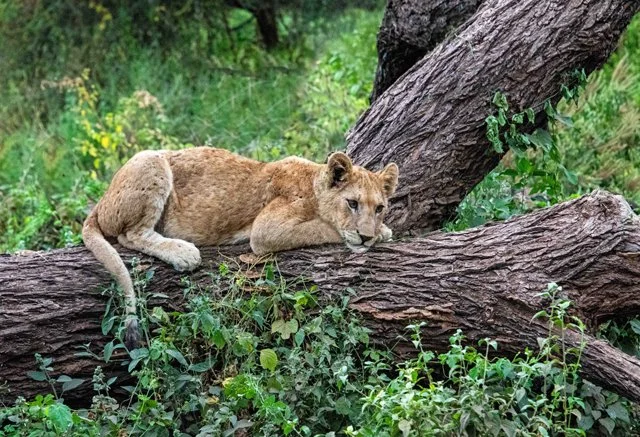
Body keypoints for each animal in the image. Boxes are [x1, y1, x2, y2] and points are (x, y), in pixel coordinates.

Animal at [83, 147, 399, 348]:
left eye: (380, 208)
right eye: (352, 203)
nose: (366, 237)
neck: (313, 182)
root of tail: (101, 201)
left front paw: (381, 231)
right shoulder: (265, 230)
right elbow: (324, 228)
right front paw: (377, 234)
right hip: (150, 161)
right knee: (129, 235)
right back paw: (183, 253)